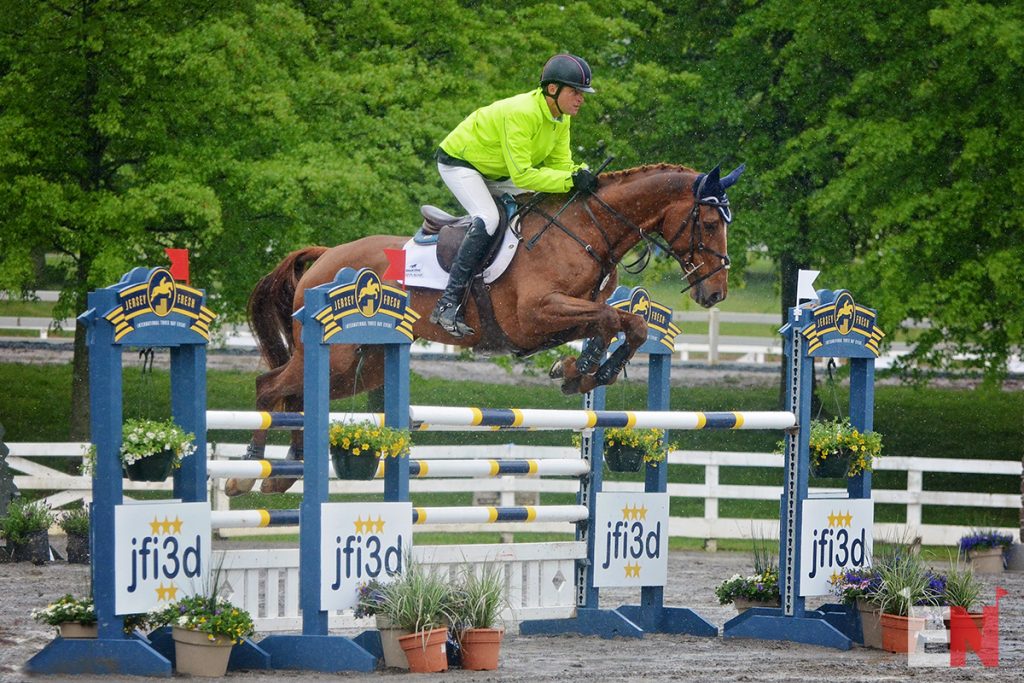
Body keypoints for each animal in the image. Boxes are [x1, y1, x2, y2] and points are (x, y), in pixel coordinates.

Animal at [226, 162, 745, 493]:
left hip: (362, 365)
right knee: (270, 387)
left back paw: (284, 472)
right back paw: (248, 471)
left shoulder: (567, 315)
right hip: (335, 355)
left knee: (299, 396)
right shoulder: (537, 316)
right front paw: (583, 372)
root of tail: (325, 255)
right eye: (708, 222)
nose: (716, 293)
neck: (585, 231)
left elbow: (626, 323)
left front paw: (580, 372)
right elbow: (613, 319)